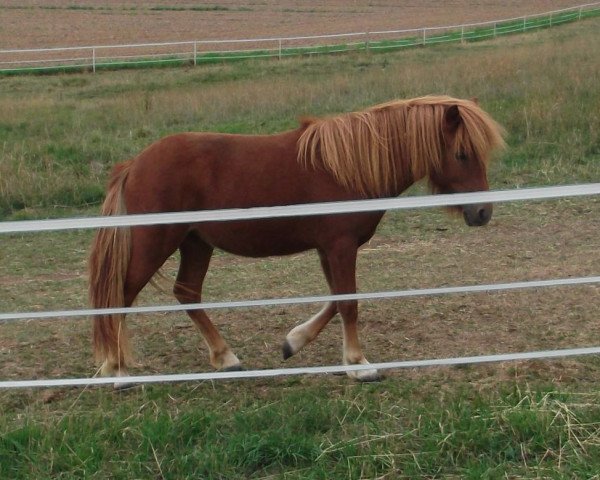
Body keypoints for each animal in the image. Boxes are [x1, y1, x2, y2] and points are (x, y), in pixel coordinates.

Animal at [86, 96, 504, 382]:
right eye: (462, 154)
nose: (482, 212)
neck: (349, 166)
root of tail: (135, 164)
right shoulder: (340, 245)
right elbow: (348, 302)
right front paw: (358, 365)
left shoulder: (328, 248)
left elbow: (336, 299)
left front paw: (294, 342)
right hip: (155, 242)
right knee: (122, 295)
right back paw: (116, 369)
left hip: (196, 243)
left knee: (187, 292)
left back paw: (225, 357)